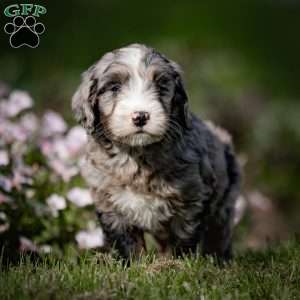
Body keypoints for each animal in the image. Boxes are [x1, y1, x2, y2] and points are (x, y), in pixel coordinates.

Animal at [71, 43, 240, 262]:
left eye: (161, 86)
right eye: (115, 88)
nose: (141, 116)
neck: (138, 156)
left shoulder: (191, 201)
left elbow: (181, 239)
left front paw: (174, 264)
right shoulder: (110, 204)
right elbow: (128, 244)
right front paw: (136, 265)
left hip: (225, 201)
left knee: (218, 233)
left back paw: (219, 259)